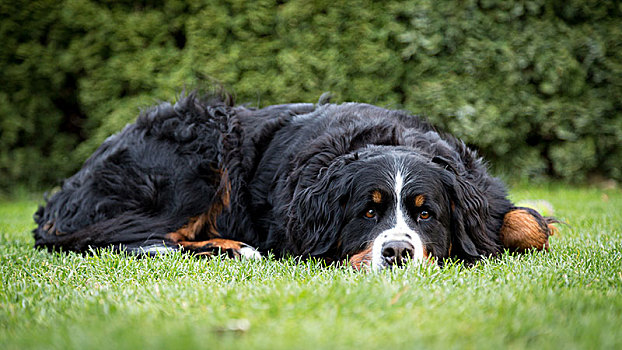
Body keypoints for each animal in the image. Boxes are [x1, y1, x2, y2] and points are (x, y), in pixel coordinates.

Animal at [34, 91, 560, 270]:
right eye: (369, 211)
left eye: (425, 213)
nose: (396, 252)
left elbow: (523, 223)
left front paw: (537, 225)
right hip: (200, 152)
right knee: (131, 240)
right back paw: (233, 248)